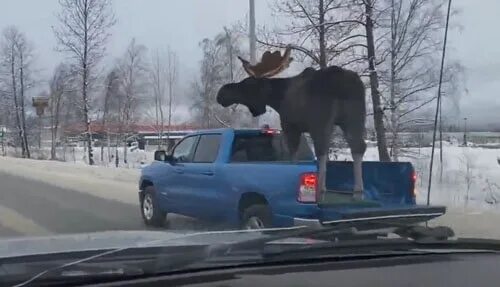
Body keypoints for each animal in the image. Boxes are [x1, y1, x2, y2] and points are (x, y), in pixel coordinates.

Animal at [217, 46, 366, 200]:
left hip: (321, 121)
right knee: (358, 147)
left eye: (247, 83)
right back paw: (358, 192)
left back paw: (321, 191)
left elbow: (293, 155)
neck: (278, 98)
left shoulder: (290, 125)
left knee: (322, 150)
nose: (221, 93)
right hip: (355, 117)